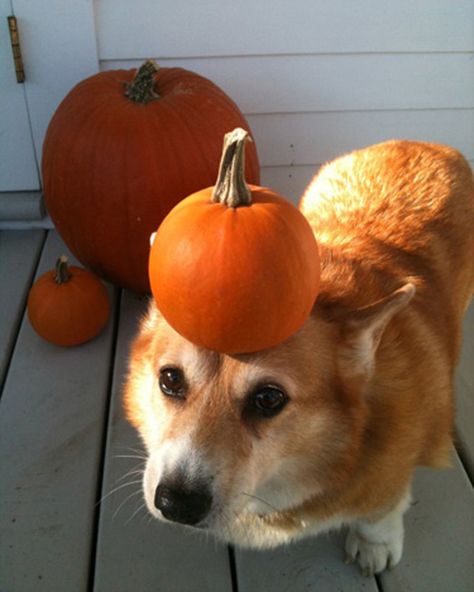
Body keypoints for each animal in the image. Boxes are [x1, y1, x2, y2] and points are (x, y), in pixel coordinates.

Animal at [124, 139, 472, 572]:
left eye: (268, 398)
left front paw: (375, 545)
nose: (176, 503)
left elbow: (381, 510)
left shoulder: (393, 471)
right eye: (170, 379)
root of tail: (426, 143)